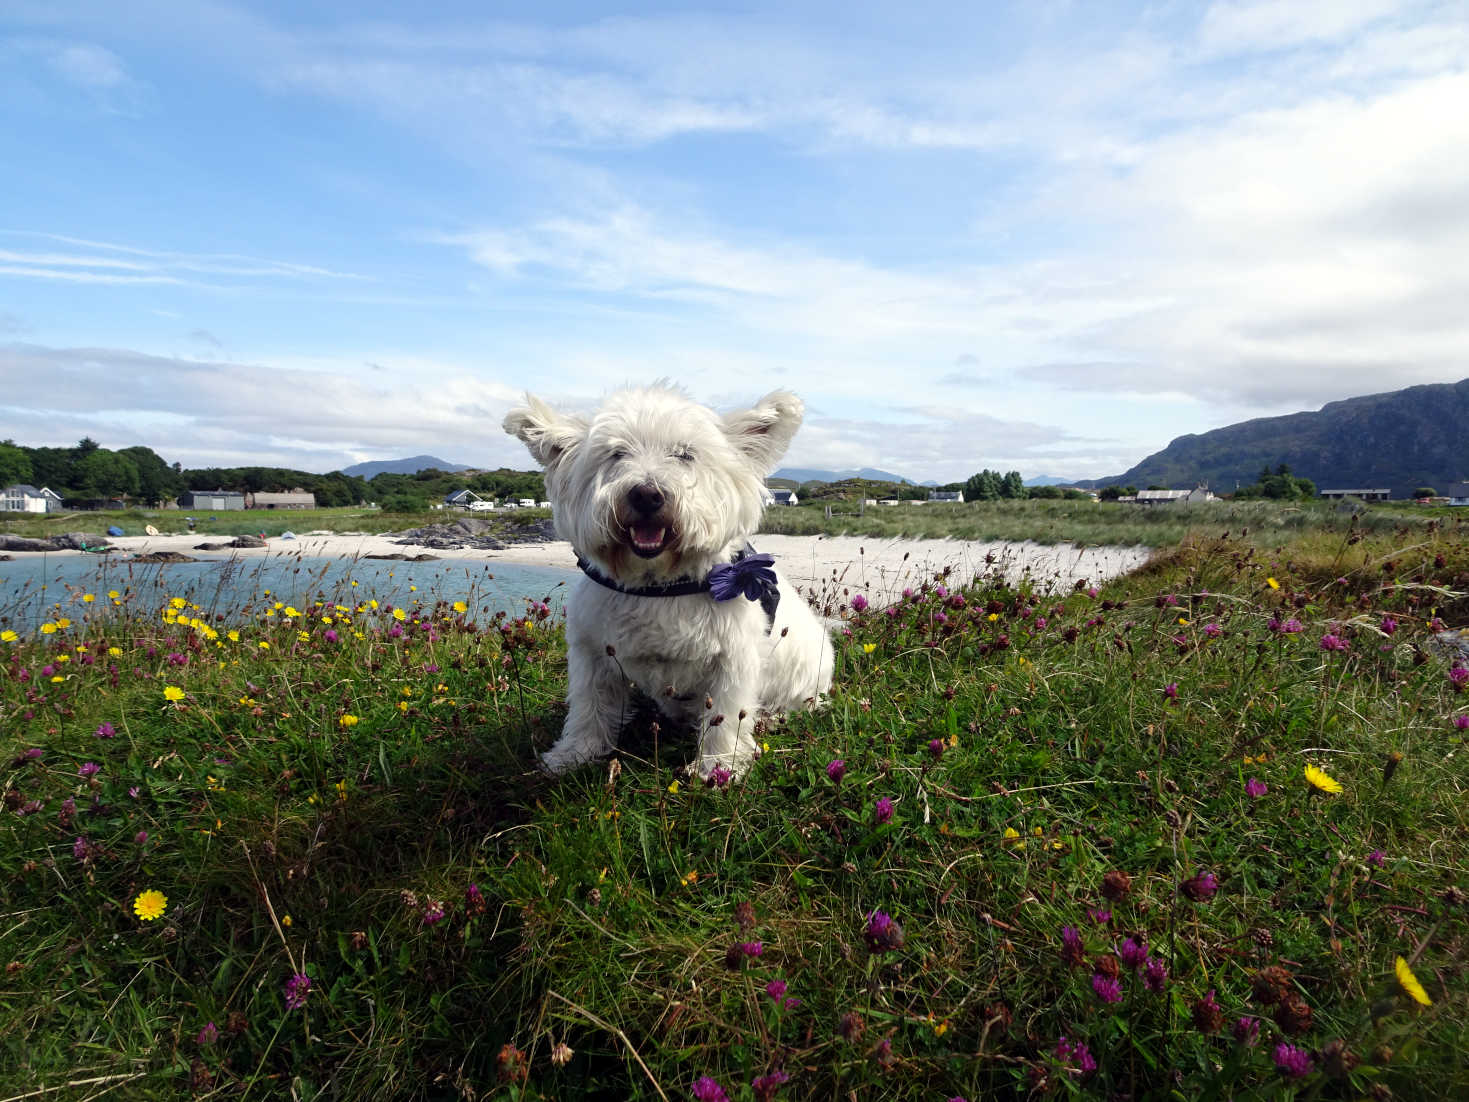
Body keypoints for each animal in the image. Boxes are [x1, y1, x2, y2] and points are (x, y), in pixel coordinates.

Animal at [505, 384, 834, 781]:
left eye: (685, 454)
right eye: (617, 453)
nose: (646, 495)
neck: (658, 585)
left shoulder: (733, 659)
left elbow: (726, 715)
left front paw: (717, 766)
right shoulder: (592, 652)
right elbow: (588, 706)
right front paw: (573, 754)